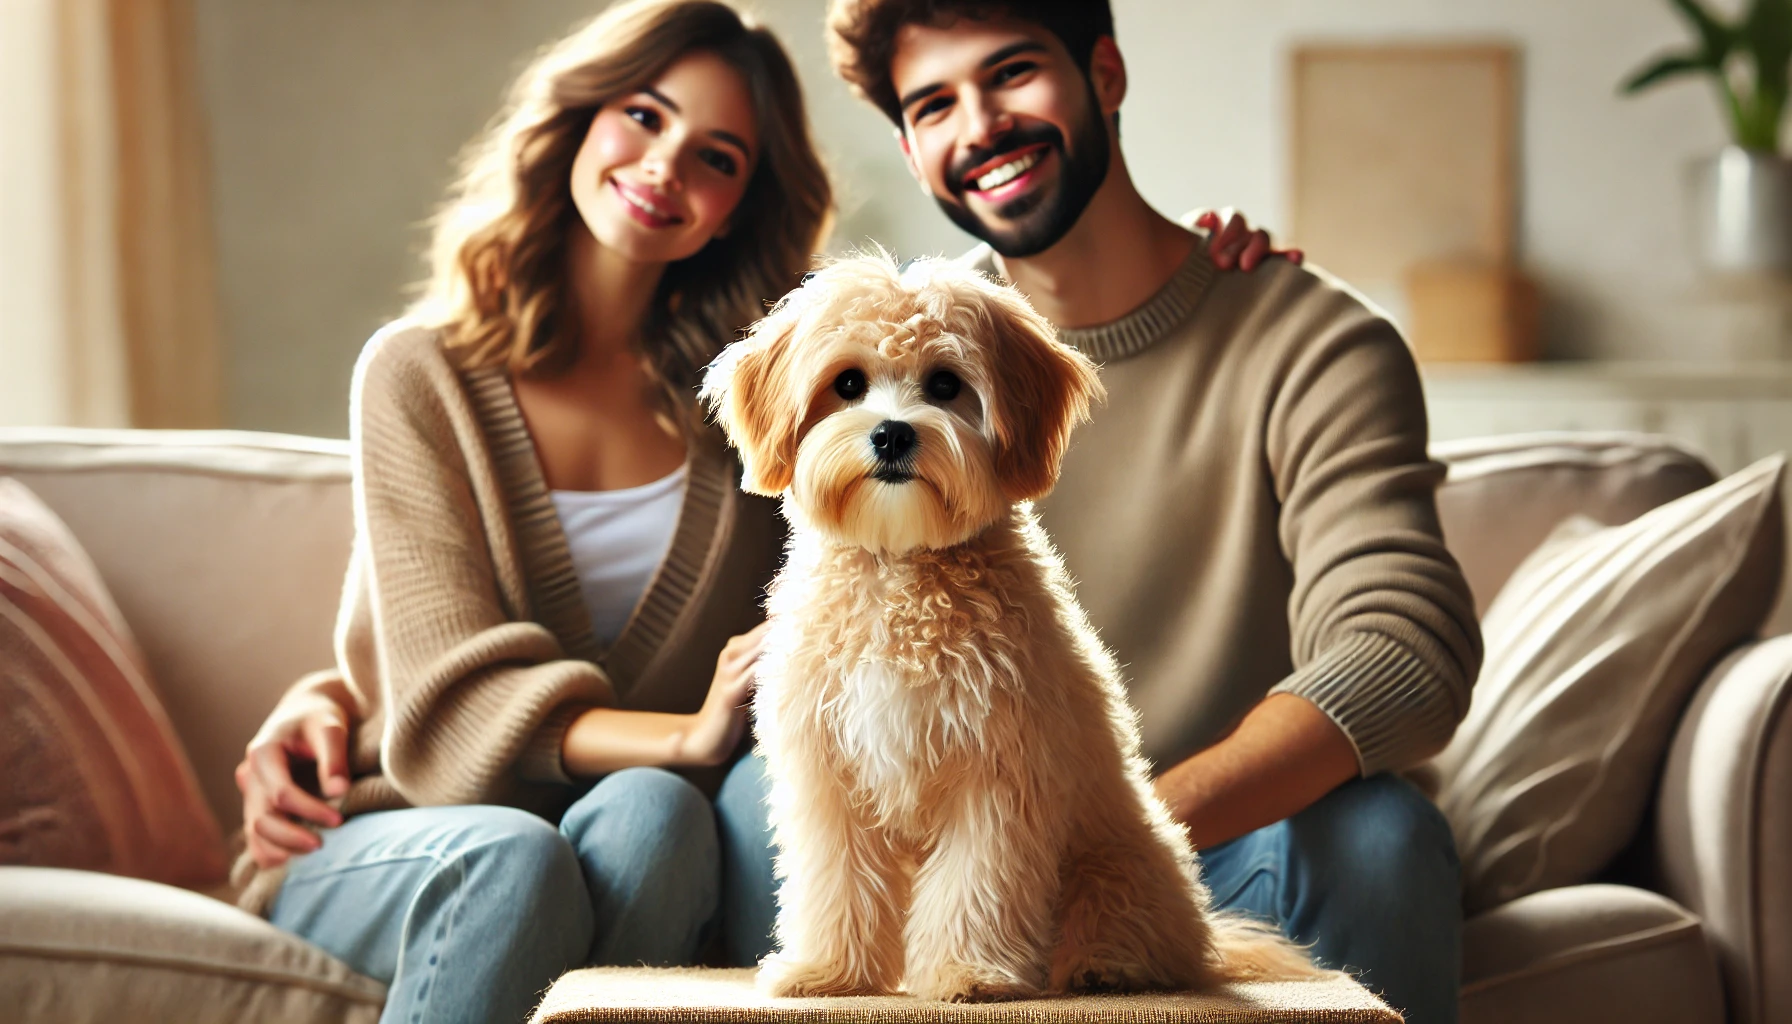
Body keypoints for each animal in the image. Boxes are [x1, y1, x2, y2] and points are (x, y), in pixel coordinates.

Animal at [706, 254, 1326, 1004]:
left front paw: (967, 973)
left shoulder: (998, 770)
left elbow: (975, 883)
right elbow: (838, 881)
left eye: (946, 384)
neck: (902, 573)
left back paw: (1105, 966)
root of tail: (1205, 942)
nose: (892, 433)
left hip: (1114, 863)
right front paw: (829, 971)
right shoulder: (831, 781)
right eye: (847, 383)